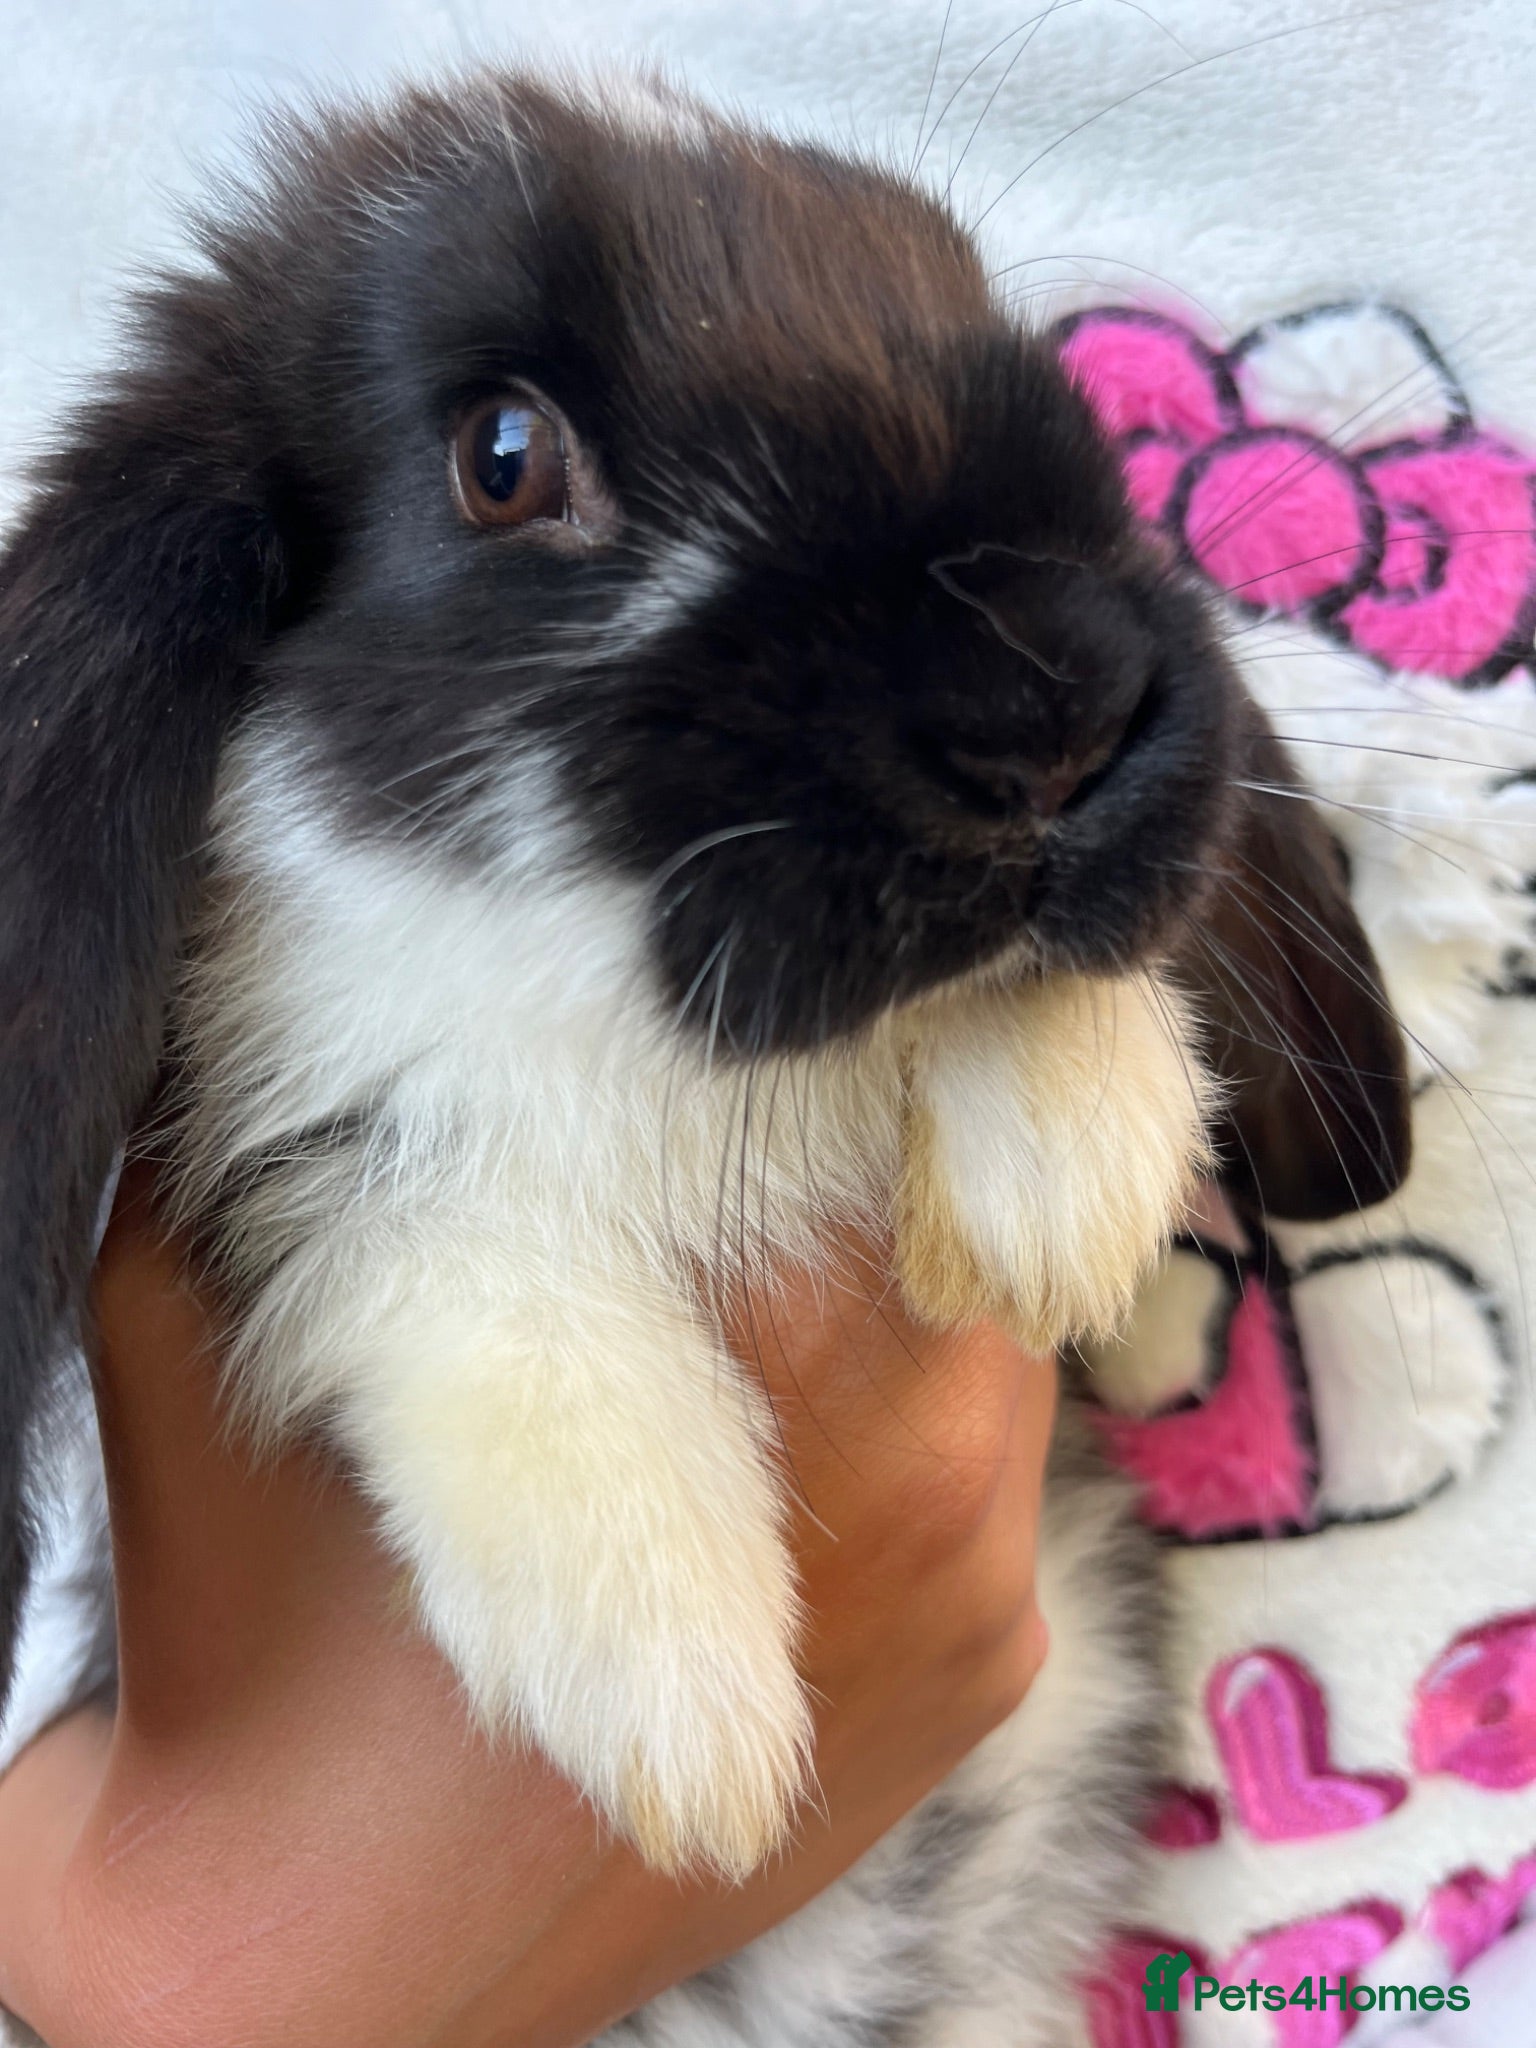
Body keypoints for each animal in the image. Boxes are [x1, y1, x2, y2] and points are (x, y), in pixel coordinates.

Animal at [0, 70, 1410, 2044]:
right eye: (504, 455)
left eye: (972, 311)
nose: (1054, 716)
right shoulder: (278, 1123)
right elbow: (431, 1237)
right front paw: (677, 1692)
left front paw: (1058, 1183)